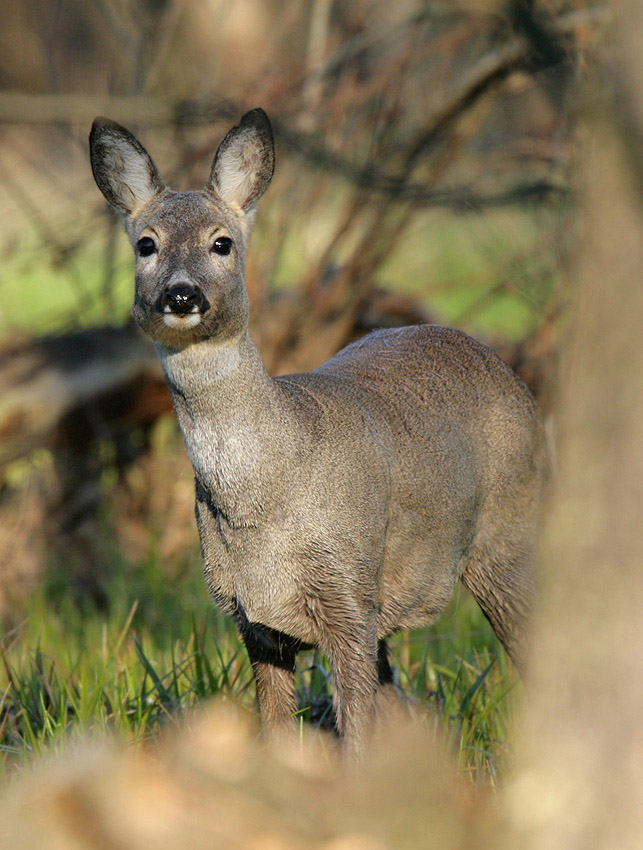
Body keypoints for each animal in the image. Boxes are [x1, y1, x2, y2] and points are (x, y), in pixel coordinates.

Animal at [88, 109, 544, 760]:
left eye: (222, 242)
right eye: (146, 244)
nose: (181, 293)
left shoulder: (349, 595)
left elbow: (354, 735)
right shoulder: (254, 620)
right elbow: (278, 736)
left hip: (507, 535)